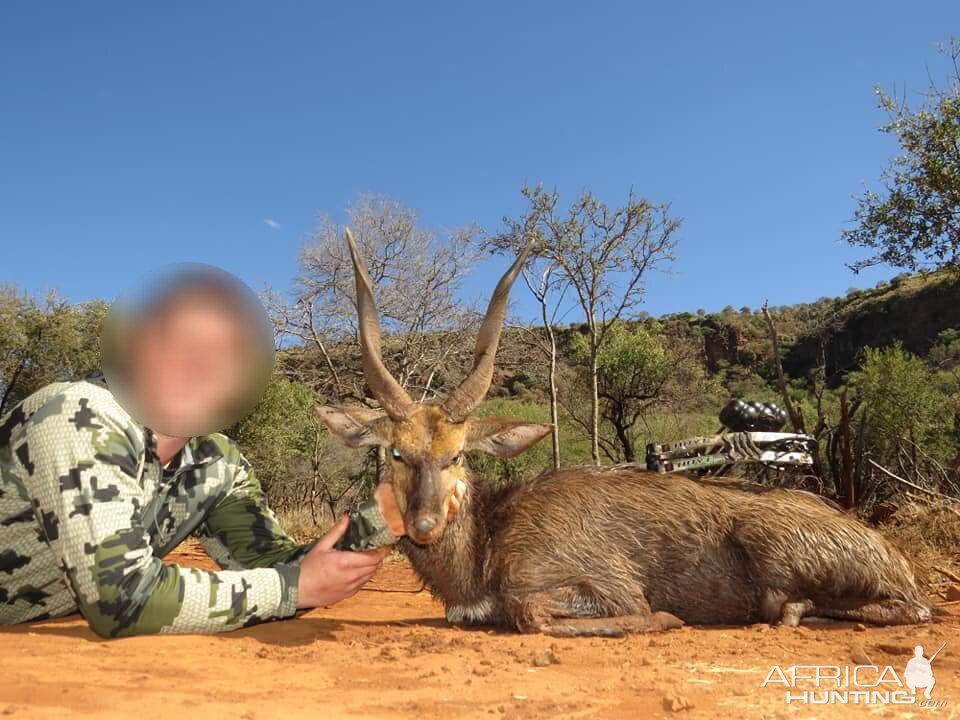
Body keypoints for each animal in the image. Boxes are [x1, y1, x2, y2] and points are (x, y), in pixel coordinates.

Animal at [318, 229, 932, 636]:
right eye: (398, 453)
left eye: (457, 456)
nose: (422, 526)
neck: (489, 545)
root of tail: (889, 554)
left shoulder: (606, 586)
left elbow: (538, 613)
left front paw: (667, 617)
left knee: (906, 609)